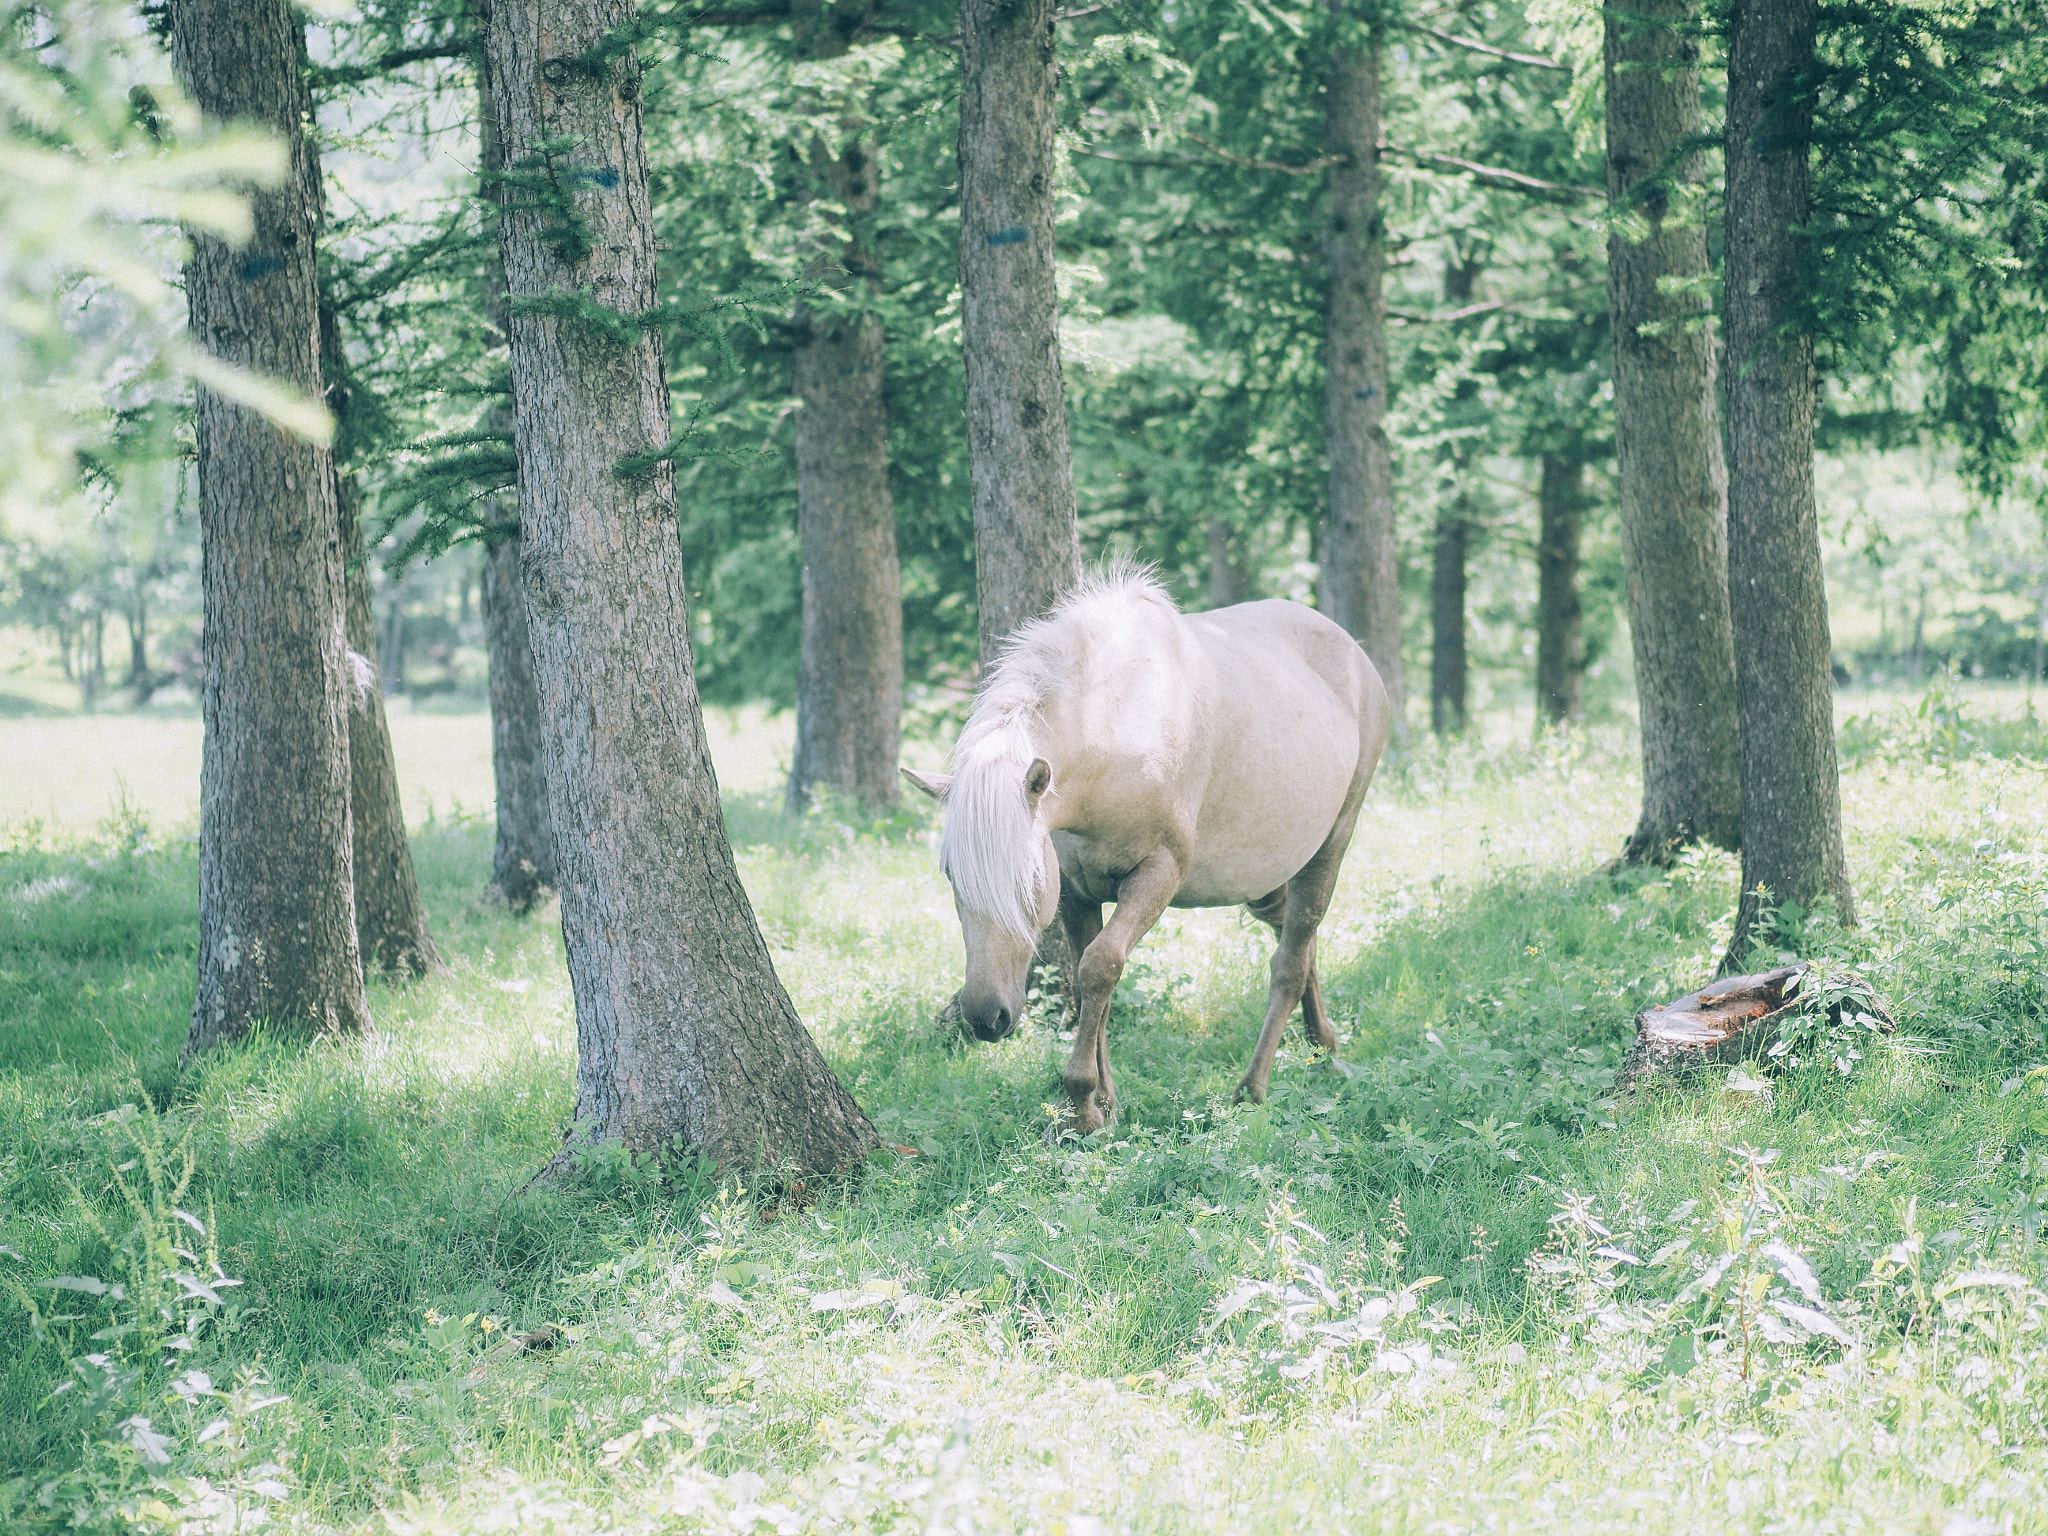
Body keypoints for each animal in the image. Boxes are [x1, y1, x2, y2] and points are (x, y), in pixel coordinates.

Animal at [902, 569, 1391, 1135]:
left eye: (1028, 878)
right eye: (951, 875)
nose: (985, 1017)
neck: (1120, 725)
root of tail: (1354, 653)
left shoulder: (1158, 874)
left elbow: (1100, 967)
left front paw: (1082, 1103)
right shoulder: (1076, 893)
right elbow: (1092, 983)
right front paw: (1104, 1102)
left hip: (1331, 844)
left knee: (1290, 960)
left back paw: (1252, 1090)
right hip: (1268, 879)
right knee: (1297, 937)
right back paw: (1322, 1044)